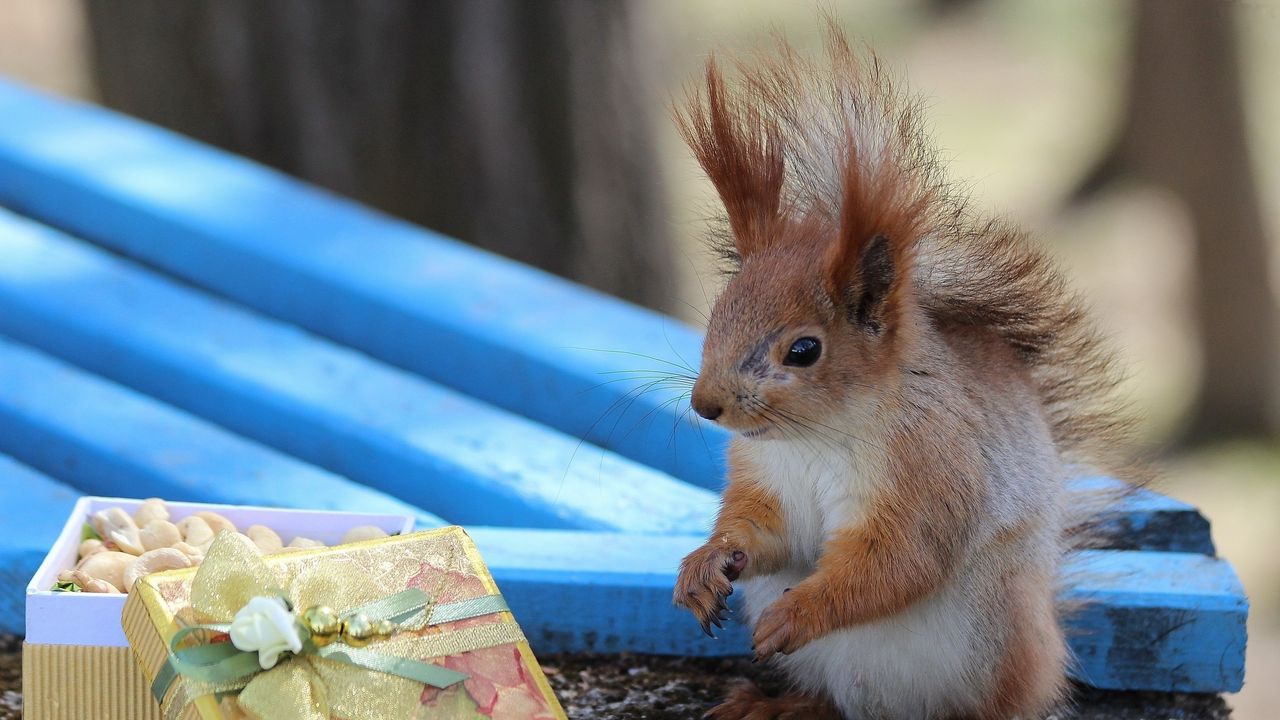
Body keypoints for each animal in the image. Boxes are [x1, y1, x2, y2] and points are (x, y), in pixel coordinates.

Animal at [670, 20, 1141, 717]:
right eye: (718, 313)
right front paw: (705, 564)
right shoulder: (768, 480)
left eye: (803, 351)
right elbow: (765, 535)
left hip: (997, 642)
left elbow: (897, 562)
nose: (706, 405)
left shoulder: (932, 471)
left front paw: (800, 611)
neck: (816, 437)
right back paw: (780, 704)